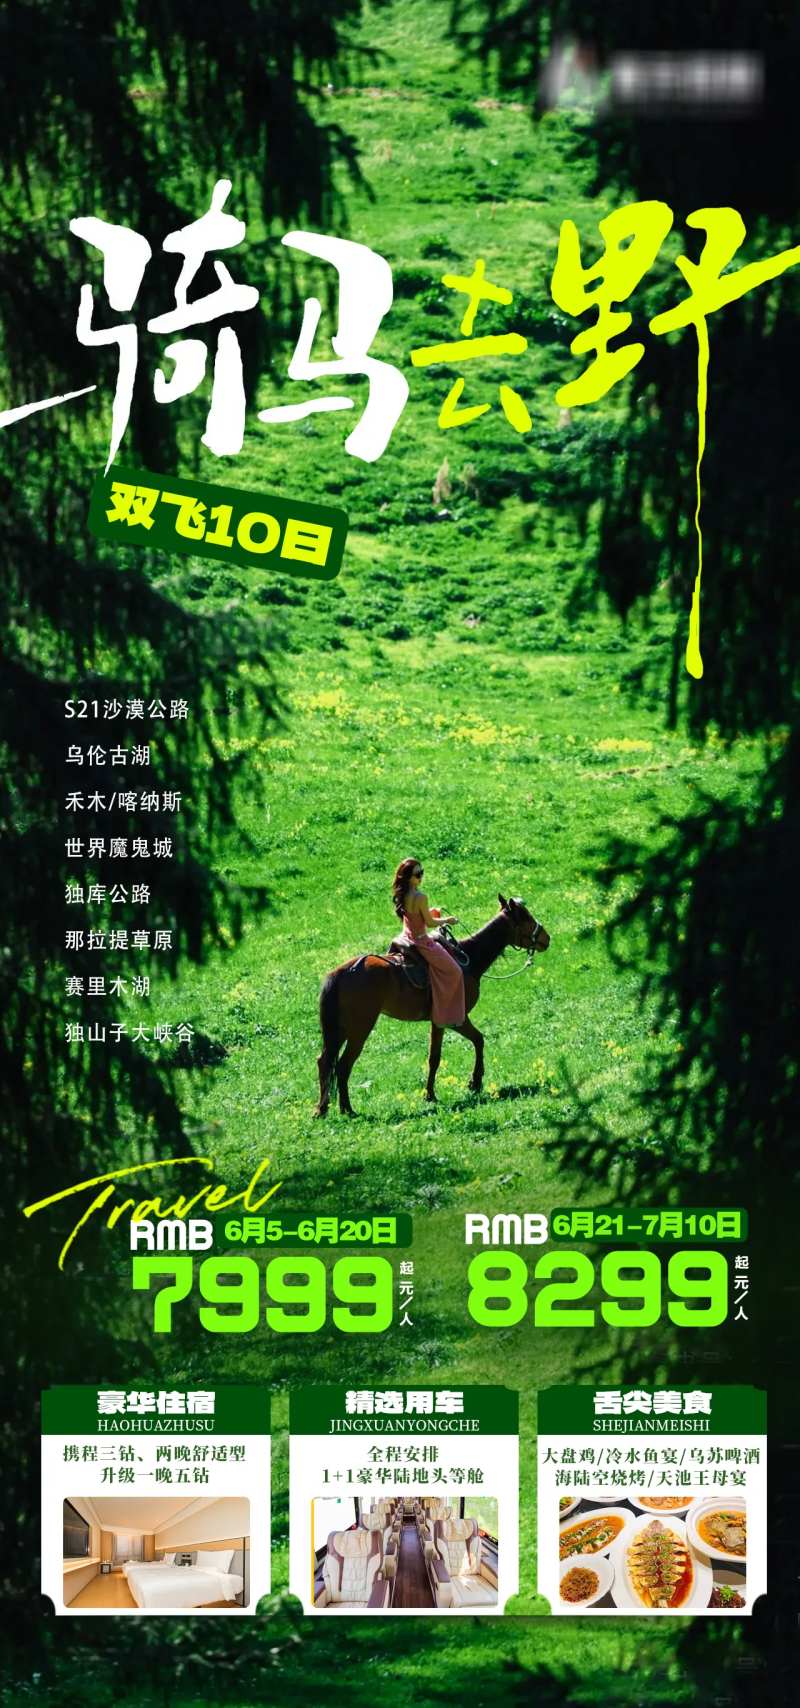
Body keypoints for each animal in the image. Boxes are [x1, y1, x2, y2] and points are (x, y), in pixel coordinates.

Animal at [314, 894, 550, 1117]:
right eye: (526, 917)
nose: (546, 938)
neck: (468, 959)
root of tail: (341, 972)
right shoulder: (455, 1018)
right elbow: (475, 1041)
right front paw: (474, 1082)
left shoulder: (439, 1022)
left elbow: (434, 1057)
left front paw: (430, 1094)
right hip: (359, 1029)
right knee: (343, 1065)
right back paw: (347, 1108)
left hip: (339, 1030)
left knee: (325, 1061)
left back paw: (322, 1109)